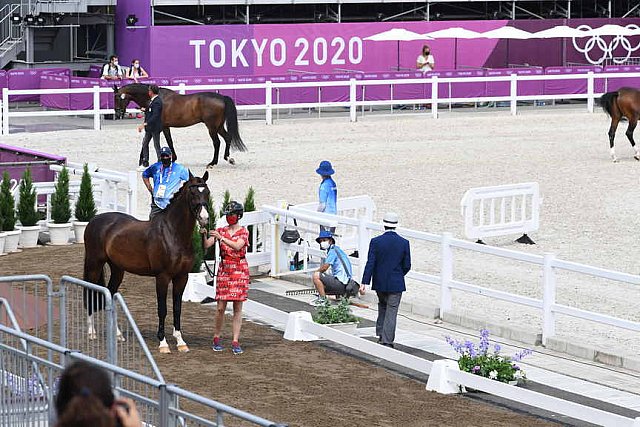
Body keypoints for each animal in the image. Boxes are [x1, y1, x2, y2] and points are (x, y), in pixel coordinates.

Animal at [83, 172, 210, 352]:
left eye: (207, 192)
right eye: (192, 193)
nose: (205, 218)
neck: (173, 233)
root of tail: (94, 220)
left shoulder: (182, 277)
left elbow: (177, 308)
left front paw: (180, 342)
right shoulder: (162, 277)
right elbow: (162, 309)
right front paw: (163, 343)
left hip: (117, 269)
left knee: (110, 293)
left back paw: (118, 334)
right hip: (94, 264)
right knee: (90, 293)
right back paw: (91, 332)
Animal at [113, 83, 248, 169]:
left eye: (118, 98)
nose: (118, 113)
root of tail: (221, 97)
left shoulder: (159, 127)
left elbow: (160, 142)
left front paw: (144, 162)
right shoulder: (162, 127)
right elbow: (165, 141)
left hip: (211, 127)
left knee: (217, 142)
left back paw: (212, 163)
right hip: (218, 126)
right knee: (227, 138)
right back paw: (229, 158)